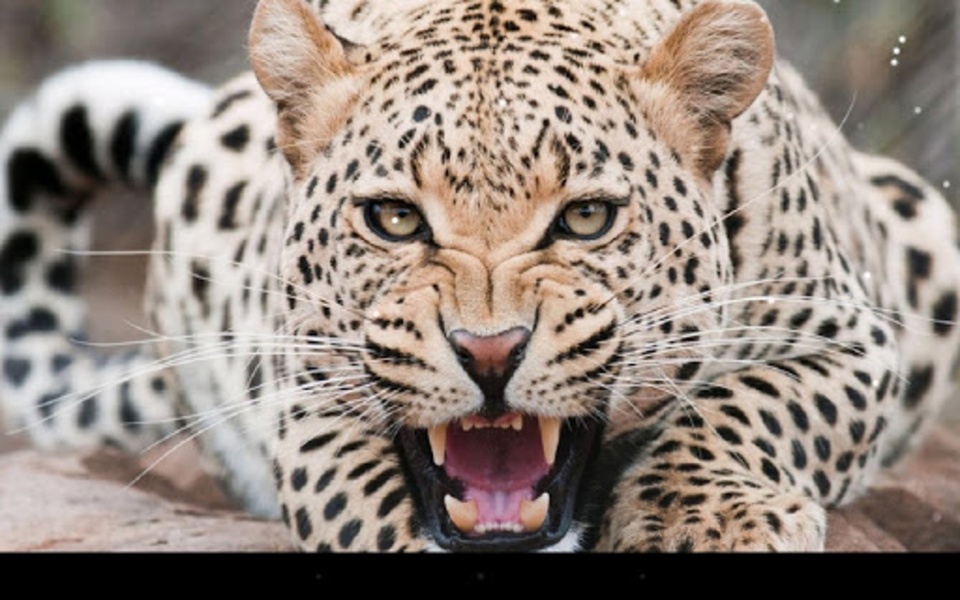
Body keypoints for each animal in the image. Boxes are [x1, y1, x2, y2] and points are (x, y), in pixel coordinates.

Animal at [1, 0, 958, 552]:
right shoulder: (305, 399)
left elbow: (750, 406)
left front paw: (707, 521)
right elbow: (360, 502)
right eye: (394, 219)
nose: (489, 353)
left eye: (586, 218)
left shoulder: (850, 338)